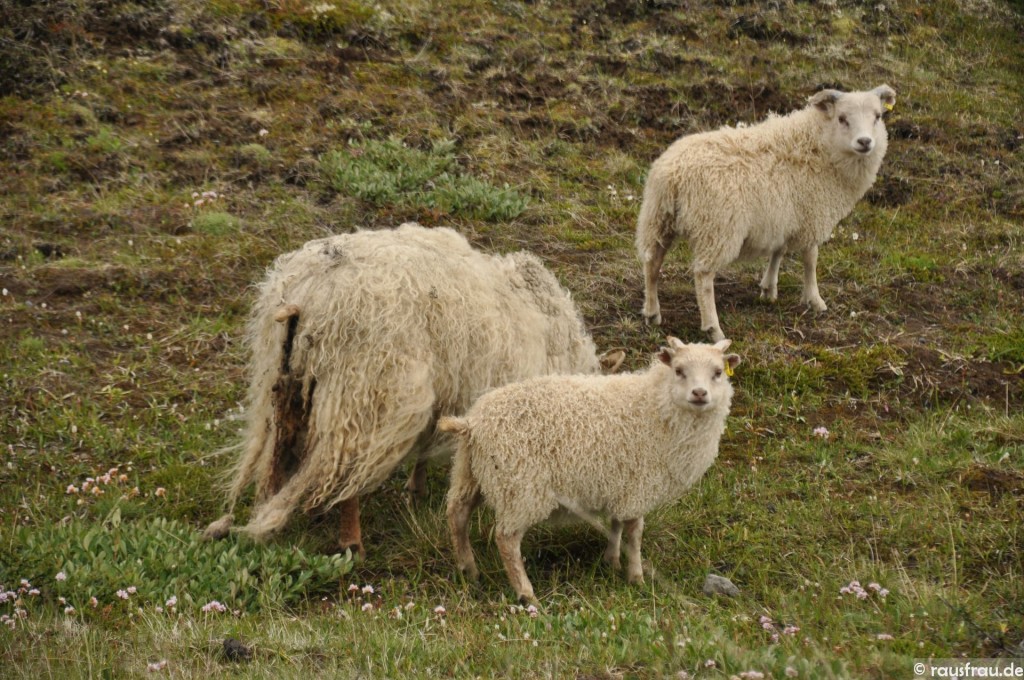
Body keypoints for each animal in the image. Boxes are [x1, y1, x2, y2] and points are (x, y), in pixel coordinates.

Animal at [203, 223, 622, 557]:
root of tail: (311, 291)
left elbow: (427, 441)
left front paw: (415, 490)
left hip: (284, 376)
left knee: (282, 440)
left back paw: (267, 508)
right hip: (364, 387)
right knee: (349, 464)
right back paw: (350, 541)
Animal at [440, 337, 737, 602]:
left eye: (718, 373)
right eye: (679, 370)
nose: (699, 393)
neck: (656, 408)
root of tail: (473, 422)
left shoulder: (622, 481)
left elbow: (617, 524)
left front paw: (611, 561)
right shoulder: (639, 485)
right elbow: (635, 534)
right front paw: (636, 577)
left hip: (472, 472)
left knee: (457, 514)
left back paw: (469, 570)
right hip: (520, 486)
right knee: (506, 539)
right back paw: (526, 593)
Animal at [634, 85, 901, 340]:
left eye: (878, 116)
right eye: (842, 118)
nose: (865, 142)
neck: (820, 145)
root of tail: (674, 175)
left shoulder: (782, 216)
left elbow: (778, 251)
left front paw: (769, 289)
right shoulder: (811, 214)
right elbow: (810, 259)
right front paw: (814, 300)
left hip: (658, 218)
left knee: (652, 262)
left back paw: (652, 313)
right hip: (717, 228)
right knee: (703, 276)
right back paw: (713, 328)